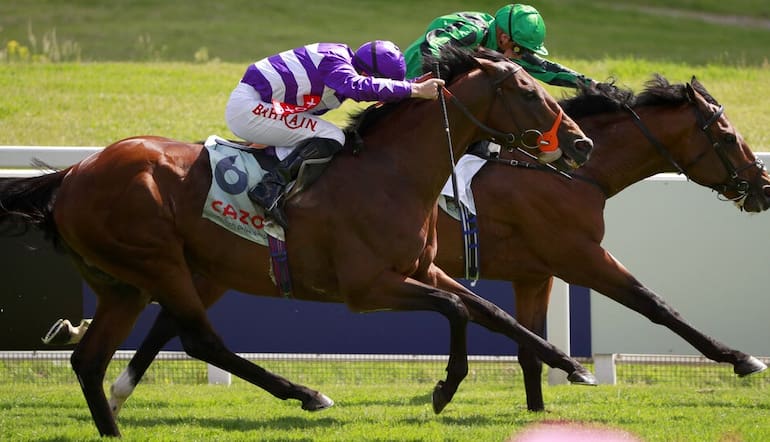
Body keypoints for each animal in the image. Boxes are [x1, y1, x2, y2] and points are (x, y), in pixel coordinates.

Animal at [0, 47, 594, 437]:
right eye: (527, 91)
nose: (581, 143)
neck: (391, 172)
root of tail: (75, 172)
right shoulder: (367, 287)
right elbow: (456, 310)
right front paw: (445, 389)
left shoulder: (420, 268)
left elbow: (496, 314)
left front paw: (573, 367)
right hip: (158, 263)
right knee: (200, 341)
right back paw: (308, 394)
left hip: (126, 283)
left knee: (90, 360)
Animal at [61, 74, 770, 418]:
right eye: (725, 134)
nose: (762, 186)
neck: (570, 174)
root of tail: (75, 175)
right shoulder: (578, 256)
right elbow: (655, 305)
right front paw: (740, 359)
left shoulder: (534, 271)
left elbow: (523, 337)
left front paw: (543, 401)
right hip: (183, 260)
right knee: (187, 330)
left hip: (210, 264)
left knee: (171, 326)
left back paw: (120, 391)